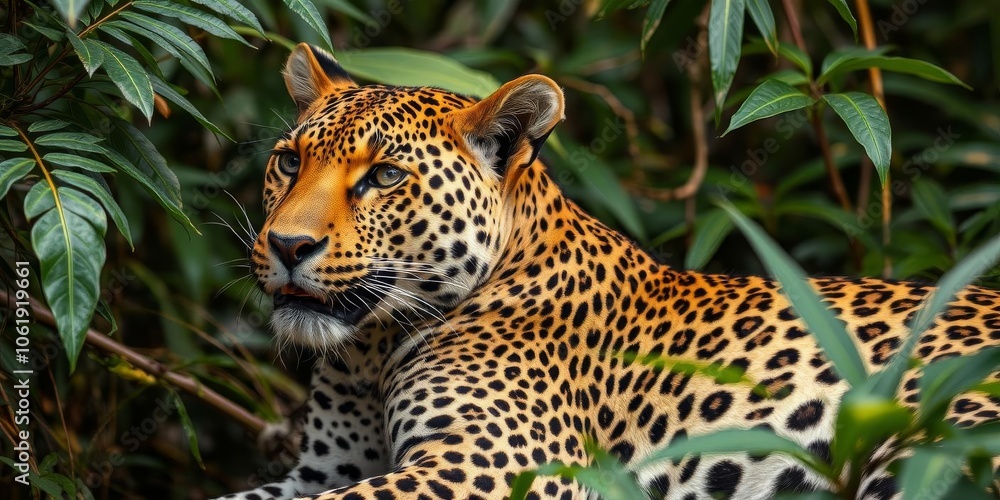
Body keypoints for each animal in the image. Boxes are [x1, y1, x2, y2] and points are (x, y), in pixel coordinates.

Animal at [218, 43, 1000, 500]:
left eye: (383, 176)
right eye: (289, 160)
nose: (287, 245)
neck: (371, 349)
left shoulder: (487, 462)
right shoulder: (321, 471)